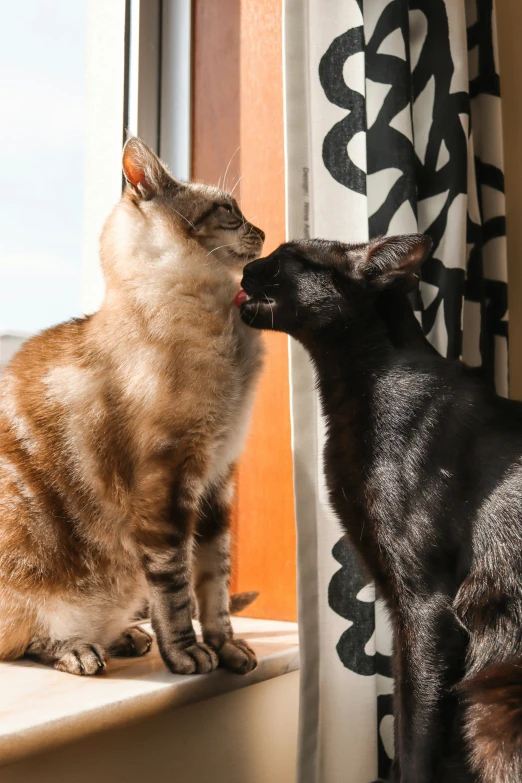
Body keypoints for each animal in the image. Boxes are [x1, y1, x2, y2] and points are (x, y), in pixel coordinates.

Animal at [0, 138, 262, 676]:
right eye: (229, 210)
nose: (264, 230)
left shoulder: (217, 481)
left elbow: (215, 586)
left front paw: (227, 650)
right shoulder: (167, 485)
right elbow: (175, 588)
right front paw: (188, 656)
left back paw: (125, 637)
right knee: (26, 639)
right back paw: (81, 649)